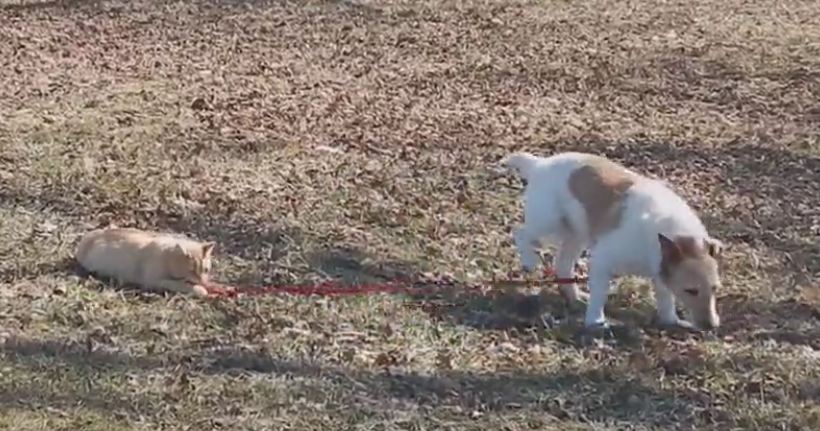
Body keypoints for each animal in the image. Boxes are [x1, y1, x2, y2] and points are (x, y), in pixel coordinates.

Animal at [74, 230, 215, 296]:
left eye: (206, 270)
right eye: (192, 271)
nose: (203, 282)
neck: (168, 256)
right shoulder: (154, 280)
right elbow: (182, 285)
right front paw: (200, 290)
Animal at [506, 152, 724, 330]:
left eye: (715, 289)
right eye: (691, 291)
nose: (711, 326)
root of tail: (539, 164)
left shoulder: (661, 269)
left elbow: (665, 298)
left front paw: (671, 321)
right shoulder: (602, 261)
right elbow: (600, 294)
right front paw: (595, 321)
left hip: (576, 235)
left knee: (563, 264)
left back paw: (574, 296)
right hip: (548, 223)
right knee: (521, 234)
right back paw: (529, 261)